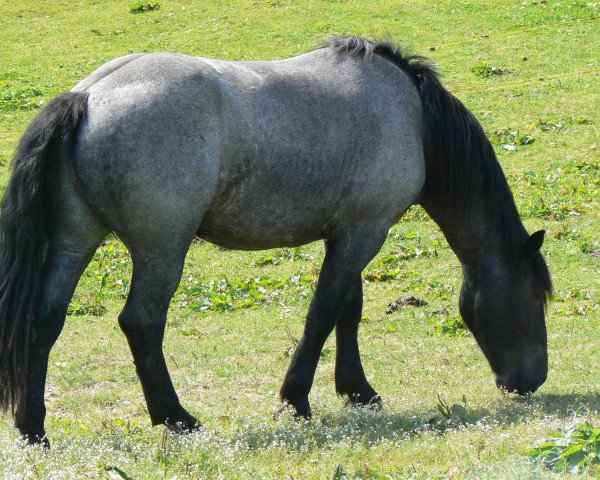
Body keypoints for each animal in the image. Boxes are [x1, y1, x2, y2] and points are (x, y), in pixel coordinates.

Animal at [0, 35, 552, 444]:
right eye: (533, 296)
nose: (532, 380)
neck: (411, 116)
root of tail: (88, 96)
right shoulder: (364, 232)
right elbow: (323, 313)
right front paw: (296, 398)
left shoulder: (348, 233)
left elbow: (348, 309)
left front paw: (356, 389)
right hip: (162, 249)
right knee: (141, 323)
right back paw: (177, 417)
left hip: (76, 241)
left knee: (44, 322)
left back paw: (34, 429)